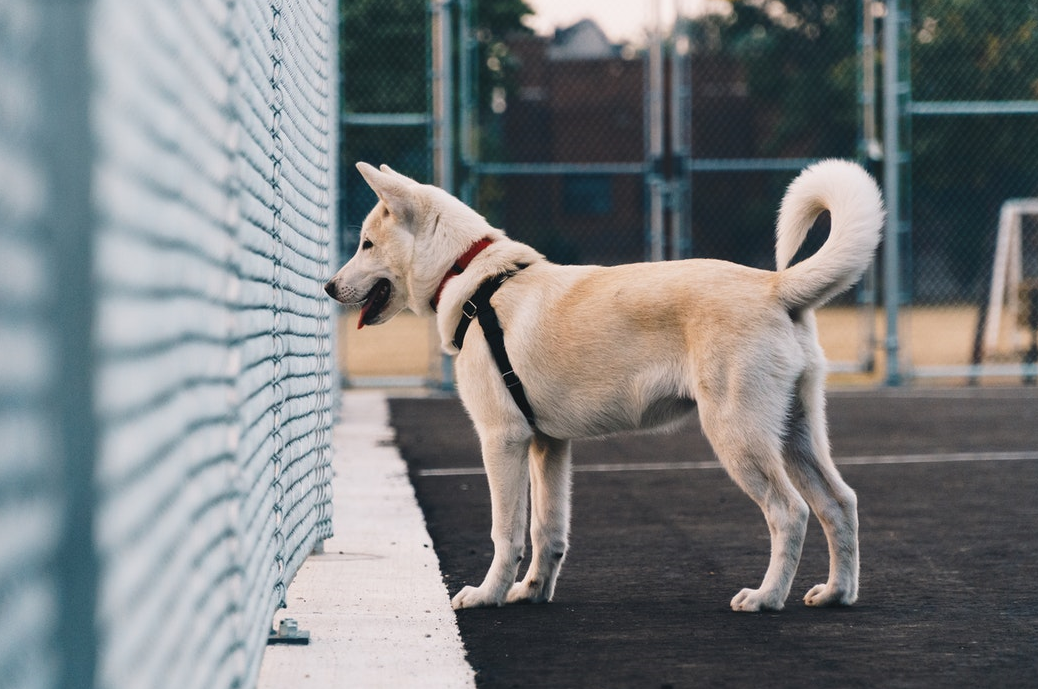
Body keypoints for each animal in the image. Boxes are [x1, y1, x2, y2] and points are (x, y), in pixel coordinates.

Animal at [325, 159, 884, 614]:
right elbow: (547, 530)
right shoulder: (548, 446)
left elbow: (506, 532)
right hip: (795, 434)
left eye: (366, 244)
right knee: (840, 503)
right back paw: (836, 593)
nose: (328, 287)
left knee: (789, 512)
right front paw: (531, 592)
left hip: (739, 436)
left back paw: (766, 597)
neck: (474, 280)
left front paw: (487, 595)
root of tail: (775, 286)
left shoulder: (502, 440)